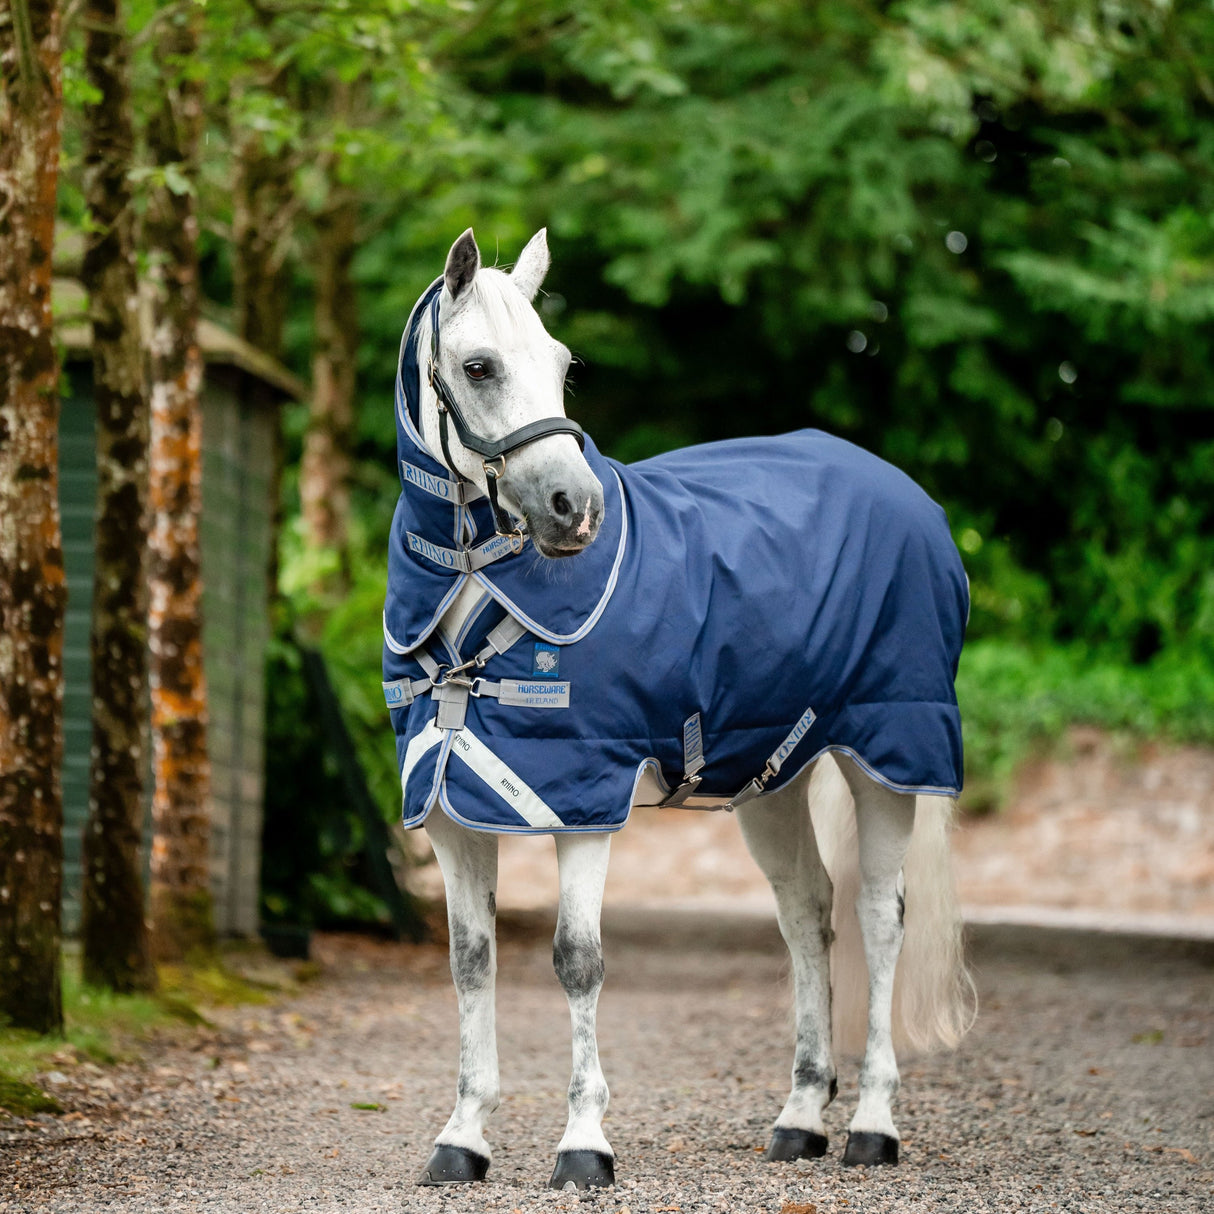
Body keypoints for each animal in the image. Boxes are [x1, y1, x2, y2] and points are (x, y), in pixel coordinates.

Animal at [381, 228, 974, 1191]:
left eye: (561, 363)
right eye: (477, 366)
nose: (574, 510)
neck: (478, 588)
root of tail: (910, 498)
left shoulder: (582, 799)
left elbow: (577, 960)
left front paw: (584, 1144)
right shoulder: (448, 808)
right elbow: (471, 963)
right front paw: (463, 1136)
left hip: (890, 754)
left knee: (881, 919)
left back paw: (873, 1126)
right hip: (775, 778)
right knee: (807, 914)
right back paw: (800, 1117)